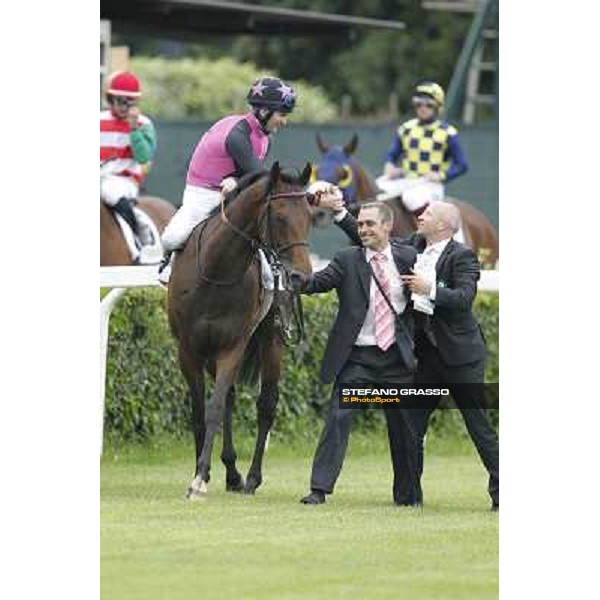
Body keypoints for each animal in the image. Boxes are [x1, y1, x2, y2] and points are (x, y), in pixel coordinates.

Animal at [166, 162, 312, 500]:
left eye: (310, 217)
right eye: (280, 216)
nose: (302, 276)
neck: (215, 271)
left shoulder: (232, 345)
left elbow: (215, 407)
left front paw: (199, 478)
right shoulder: (189, 349)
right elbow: (200, 412)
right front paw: (200, 474)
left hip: (272, 339)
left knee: (266, 404)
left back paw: (252, 478)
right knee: (232, 397)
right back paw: (231, 473)